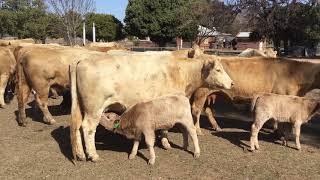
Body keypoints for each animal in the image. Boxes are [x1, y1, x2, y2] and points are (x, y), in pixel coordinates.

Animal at [70, 51, 232, 161]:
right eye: (218, 69)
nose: (231, 83)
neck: (180, 71)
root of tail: (82, 59)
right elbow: (165, 127)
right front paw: (166, 143)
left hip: (80, 106)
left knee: (76, 126)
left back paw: (81, 154)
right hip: (94, 108)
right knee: (88, 127)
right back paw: (93, 155)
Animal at [191, 57, 320, 134]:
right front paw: (277, 131)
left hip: (210, 95)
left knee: (207, 110)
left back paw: (216, 126)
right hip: (201, 93)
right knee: (196, 110)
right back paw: (198, 130)